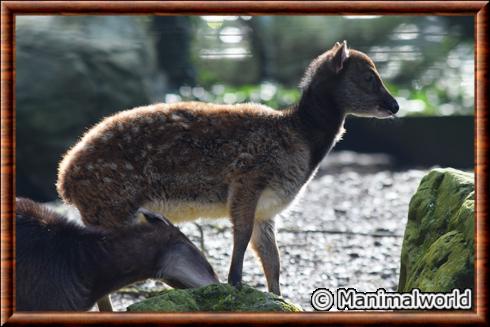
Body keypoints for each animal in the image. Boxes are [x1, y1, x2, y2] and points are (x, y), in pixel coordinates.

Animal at [57, 41, 398, 298]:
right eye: (369, 76)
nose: (394, 105)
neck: (299, 139)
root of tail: (64, 181)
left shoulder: (268, 210)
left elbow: (273, 260)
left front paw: (278, 297)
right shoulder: (248, 179)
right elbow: (241, 234)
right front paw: (235, 284)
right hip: (113, 208)